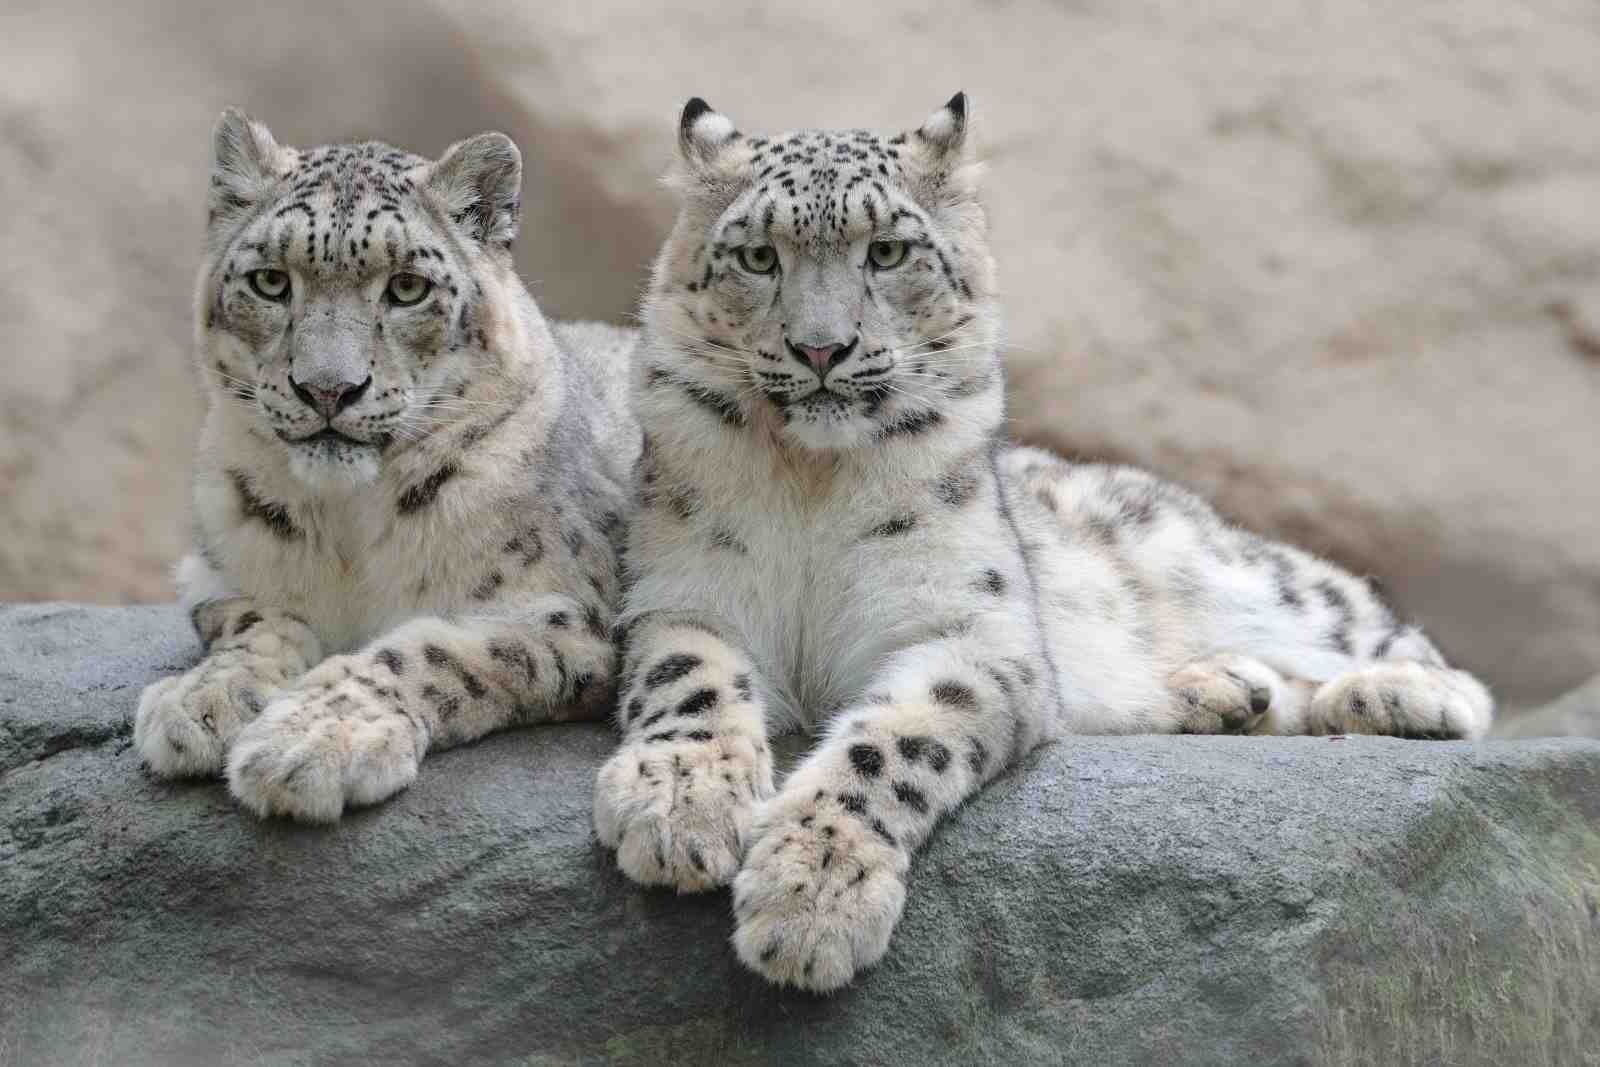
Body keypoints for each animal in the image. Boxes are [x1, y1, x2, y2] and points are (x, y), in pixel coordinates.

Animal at [133, 109, 639, 822]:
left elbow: (434, 652)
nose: (327, 389)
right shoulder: (215, 574)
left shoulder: (569, 614)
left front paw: (313, 740)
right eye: (270, 280)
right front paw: (202, 701)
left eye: (406, 288)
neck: (346, 525)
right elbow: (256, 621)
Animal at [592, 93, 1494, 993]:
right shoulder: (684, 593)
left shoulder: (973, 630)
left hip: (1231, 569)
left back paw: (1393, 695)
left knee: (1383, 632)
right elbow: (689, 682)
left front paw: (810, 895)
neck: (813, 481)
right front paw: (677, 806)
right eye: (757, 255)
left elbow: (893, 743)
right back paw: (1223, 690)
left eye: (886, 250)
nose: (821, 348)